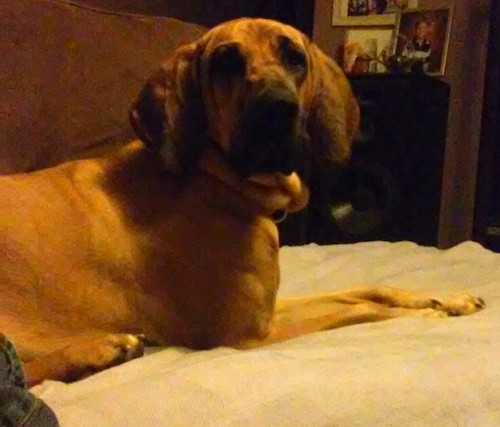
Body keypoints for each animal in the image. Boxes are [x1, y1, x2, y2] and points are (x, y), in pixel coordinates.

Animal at [0, 19, 484, 388]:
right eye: (225, 63)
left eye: (294, 57)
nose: (278, 109)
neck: (218, 180)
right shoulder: (250, 334)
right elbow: (362, 309)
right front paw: (427, 315)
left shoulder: (269, 307)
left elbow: (367, 289)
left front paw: (446, 299)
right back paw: (99, 349)